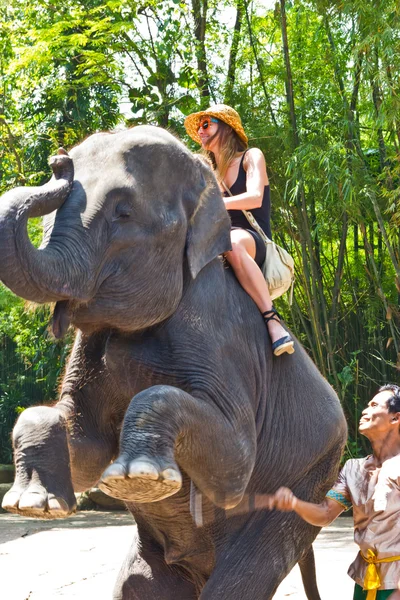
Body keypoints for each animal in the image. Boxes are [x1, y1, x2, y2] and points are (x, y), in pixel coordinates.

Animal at [0, 124, 346, 596]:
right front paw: (32, 503)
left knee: (239, 580)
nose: (58, 162)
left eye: (123, 212)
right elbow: (85, 450)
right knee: (136, 584)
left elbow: (235, 465)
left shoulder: (221, 336)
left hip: (310, 481)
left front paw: (139, 478)